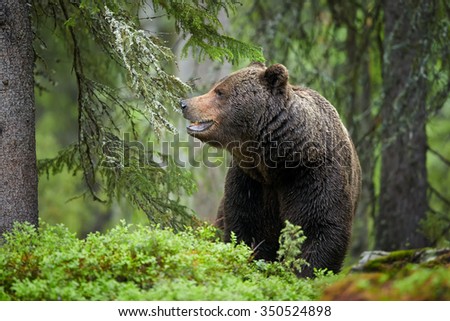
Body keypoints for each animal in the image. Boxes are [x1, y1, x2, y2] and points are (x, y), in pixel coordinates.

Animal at [181, 63, 360, 278]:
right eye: (216, 87)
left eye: (220, 92)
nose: (184, 103)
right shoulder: (251, 181)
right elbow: (249, 226)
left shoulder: (315, 177)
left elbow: (319, 227)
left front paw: (304, 273)